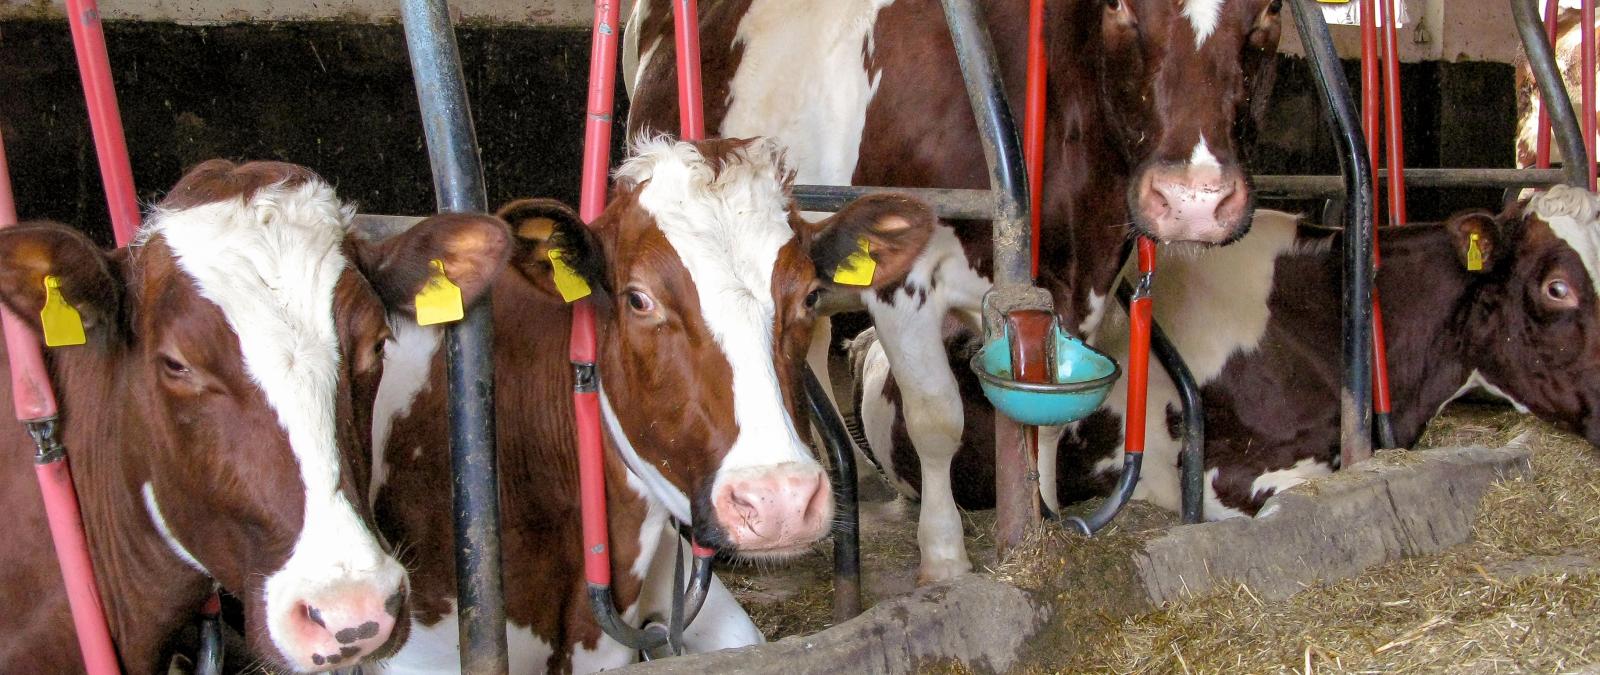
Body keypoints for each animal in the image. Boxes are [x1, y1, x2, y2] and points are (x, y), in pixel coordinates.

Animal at [623, 0, 1286, 582]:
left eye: (1270, 11)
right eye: (1120, 7)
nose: (1194, 200)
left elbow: (1045, 420)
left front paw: (1042, 519)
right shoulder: (905, 282)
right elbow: (936, 418)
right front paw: (944, 556)